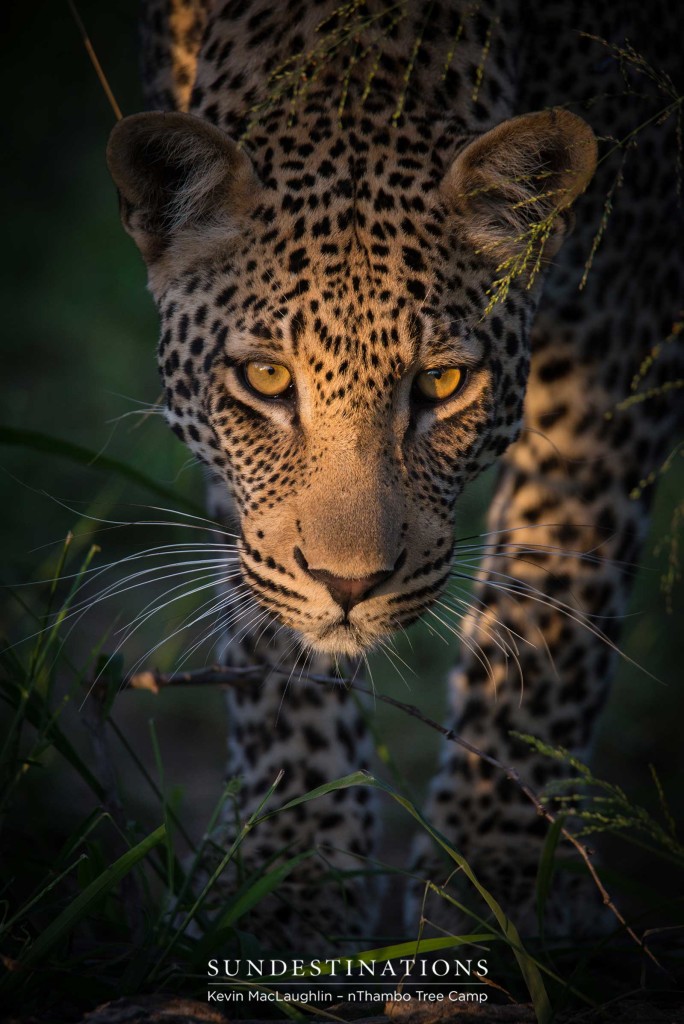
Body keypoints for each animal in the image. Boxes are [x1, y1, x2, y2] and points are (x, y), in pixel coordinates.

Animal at [104, 0, 679, 950]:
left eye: (440, 384)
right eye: (267, 379)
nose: (349, 586)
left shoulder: (624, 307)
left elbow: (555, 598)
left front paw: (503, 876)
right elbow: (267, 624)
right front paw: (291, 862)